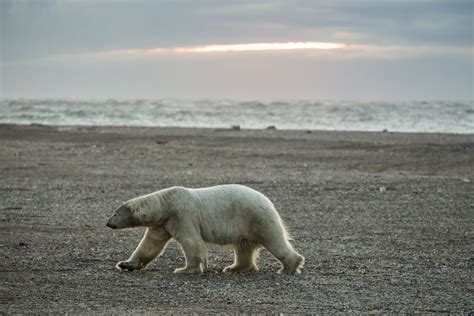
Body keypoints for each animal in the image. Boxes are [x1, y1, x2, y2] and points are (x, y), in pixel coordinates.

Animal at [105, 184, 304, 276]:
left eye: (114, 213)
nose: (107, 223)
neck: (165, 203)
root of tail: (267, 200)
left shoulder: (182, 215)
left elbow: (191, 241)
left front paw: (185, 269)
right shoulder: (163, 224)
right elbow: (149, 245)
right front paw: (125, 264)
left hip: (255, 217)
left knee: (273, 239)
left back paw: (289, 267)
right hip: (246, 225)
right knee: (243, 247)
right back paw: (234, 267)